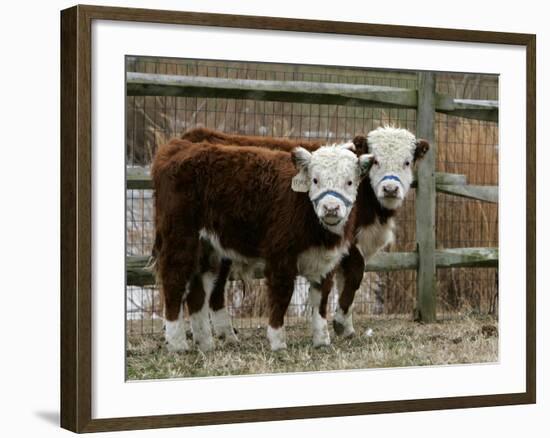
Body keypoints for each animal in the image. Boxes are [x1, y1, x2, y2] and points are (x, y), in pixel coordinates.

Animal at [153, 139, 374, 350]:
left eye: (349, 182)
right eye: (315, 179)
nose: (331, 208)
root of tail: (179, 147)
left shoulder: (326, 261)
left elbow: (321, 298)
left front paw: (322, 340)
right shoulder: (280, 255)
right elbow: (282, 294)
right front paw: (277, 341)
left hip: (209, 249)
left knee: (198, 290)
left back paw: (206, 343)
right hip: (181, 237)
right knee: (174, 279)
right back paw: (178, 343)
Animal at [182, 125, 432, 340]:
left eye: (407, 162)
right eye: (376, 161)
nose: (390, 188)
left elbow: (343, 282)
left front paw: (347, 328)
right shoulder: (348, 241)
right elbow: (355, 274)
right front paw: (340, 323)